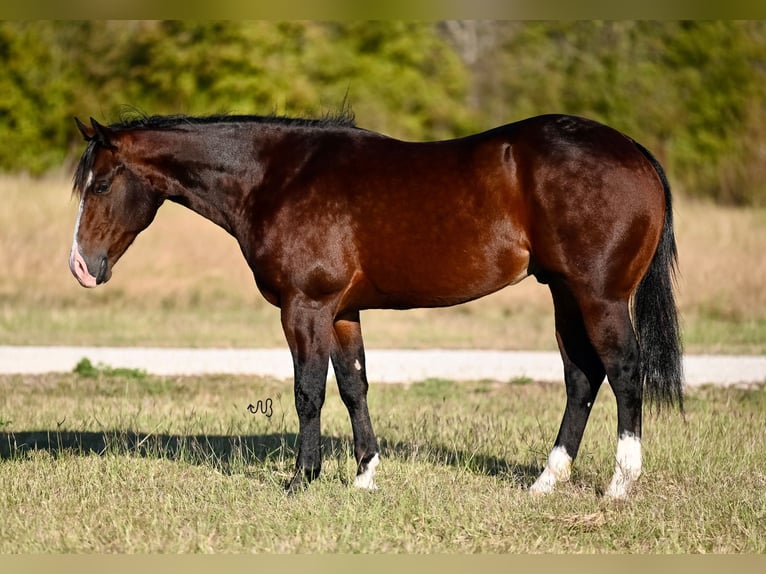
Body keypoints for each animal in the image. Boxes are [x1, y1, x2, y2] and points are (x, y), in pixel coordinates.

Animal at [69, 112, 683, 498]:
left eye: (99, 185)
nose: (80, 266)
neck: (276, 178)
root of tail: (634, 152)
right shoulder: (341, 312)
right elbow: (352, 385)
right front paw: (365, 474)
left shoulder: (305, 307)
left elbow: (309, 391)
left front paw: (302, 478)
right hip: (563, 294)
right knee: (581, 377)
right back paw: (547, 481)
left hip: (598, 297)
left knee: (623, 371)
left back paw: (620, 483)